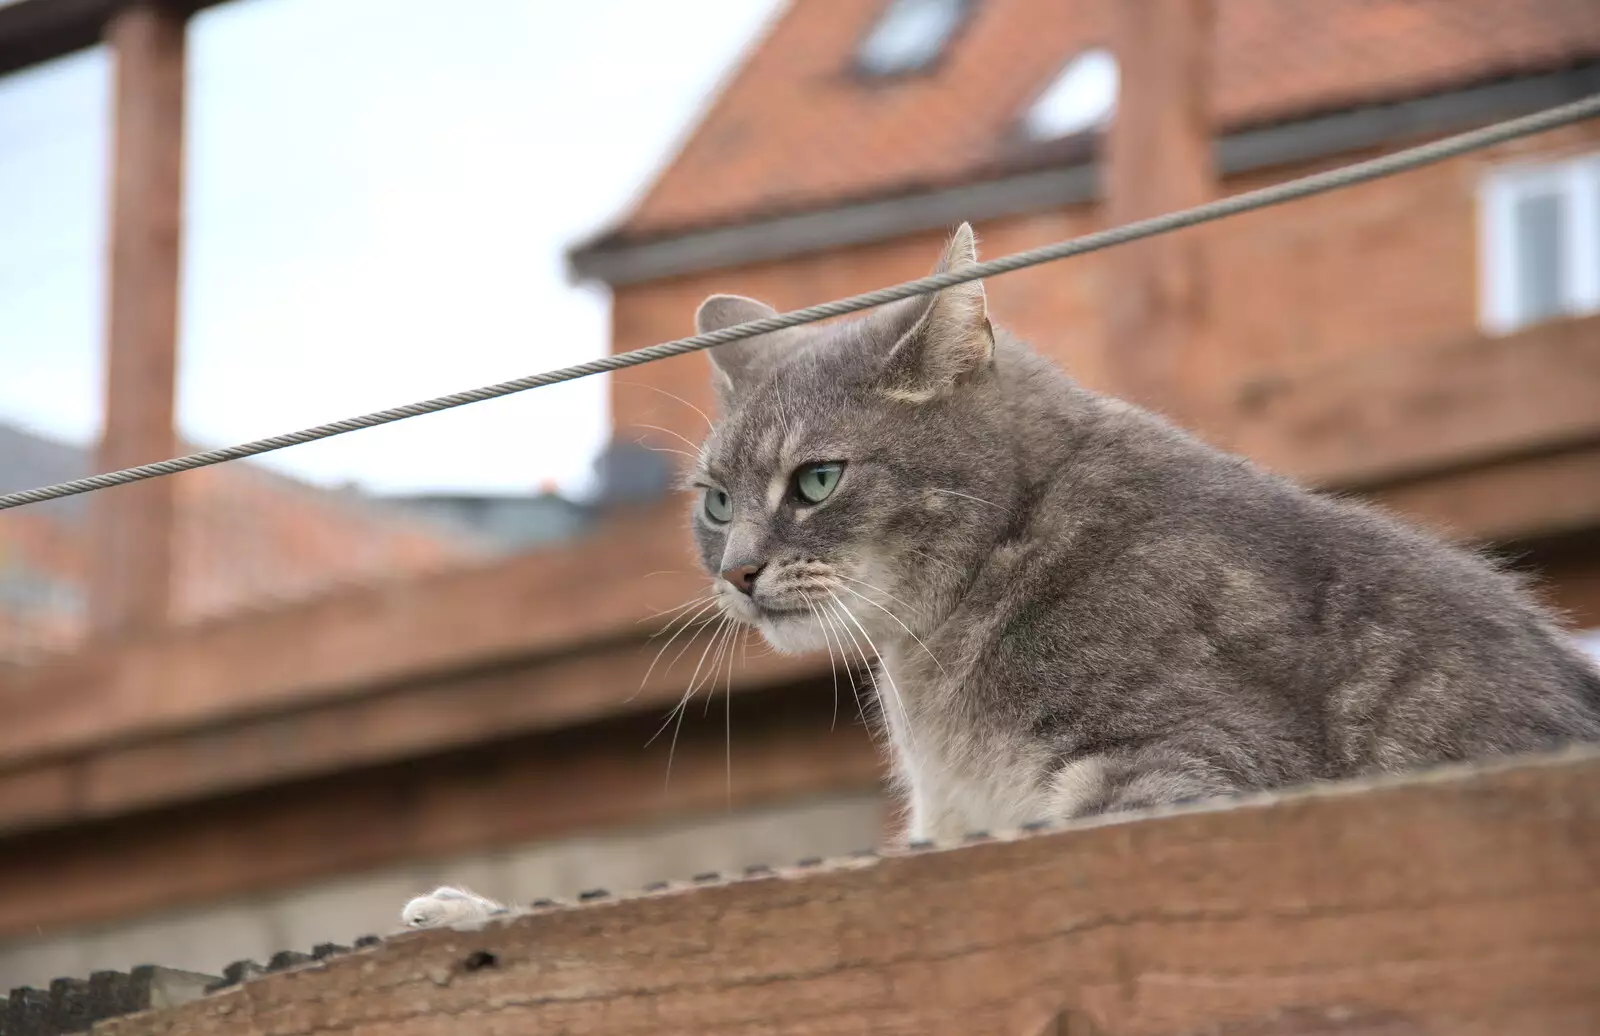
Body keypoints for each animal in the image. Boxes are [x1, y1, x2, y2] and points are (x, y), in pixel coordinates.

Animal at [393, 220, 1593, 933]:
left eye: (817, 479)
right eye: (717, 501)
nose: (736, 573)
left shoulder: (1188, 775)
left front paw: (473, 913)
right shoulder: (951, 820)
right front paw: (466, 906)